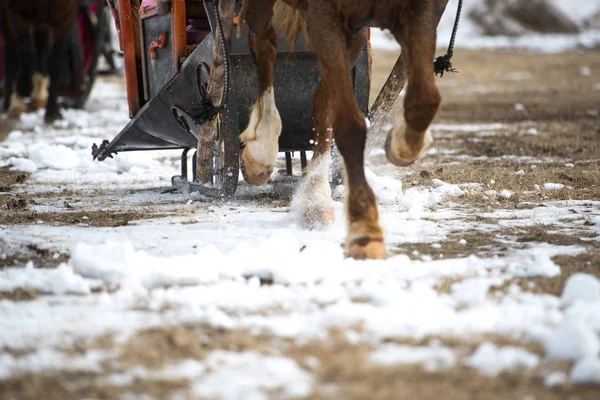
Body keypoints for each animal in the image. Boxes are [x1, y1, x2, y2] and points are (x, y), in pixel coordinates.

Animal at [219, 0, 440, 260]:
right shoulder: (326, 17)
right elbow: (350, 126)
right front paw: (365, 227)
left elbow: (425, 101)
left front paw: (400, 145)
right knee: (263, 42)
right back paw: (262, 148)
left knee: (318, 94)